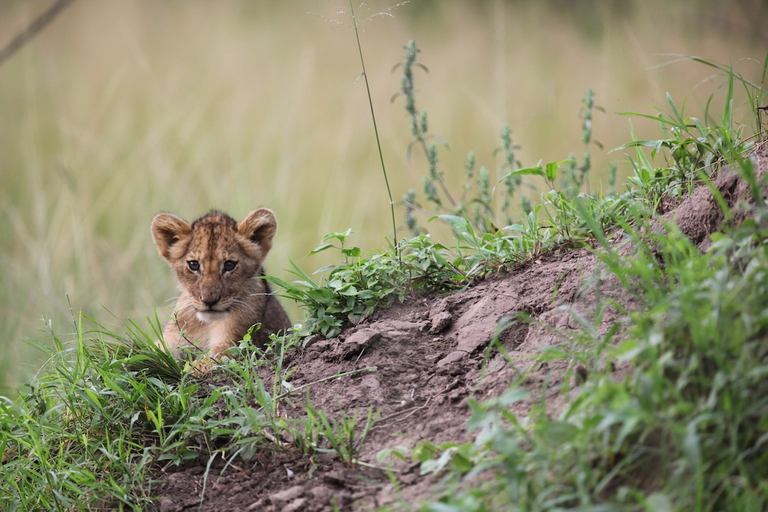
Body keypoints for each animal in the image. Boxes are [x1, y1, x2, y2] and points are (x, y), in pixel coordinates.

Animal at [151, 208, 291, 358]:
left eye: (229, 265)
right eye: (194, 265)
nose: (209, 301)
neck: (206, 323)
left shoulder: (238, 344)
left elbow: (206, 361)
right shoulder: (170, 338)